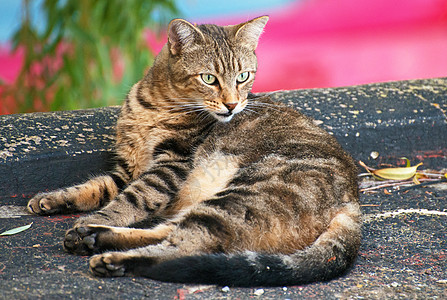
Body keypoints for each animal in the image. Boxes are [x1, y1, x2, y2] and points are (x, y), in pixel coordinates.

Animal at [26, 15, 362, 286]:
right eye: (209, 78)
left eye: (243, 77)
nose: (232, 105)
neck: (154, 106)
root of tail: (353, 200)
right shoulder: (128, 168)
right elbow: (96, 187)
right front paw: (53, 199)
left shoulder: (170, 164)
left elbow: (131, 199)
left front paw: (102, 216)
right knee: (168, 231)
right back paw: (92, 237)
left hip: (239, 196)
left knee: (183, 247)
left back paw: (109, 253)